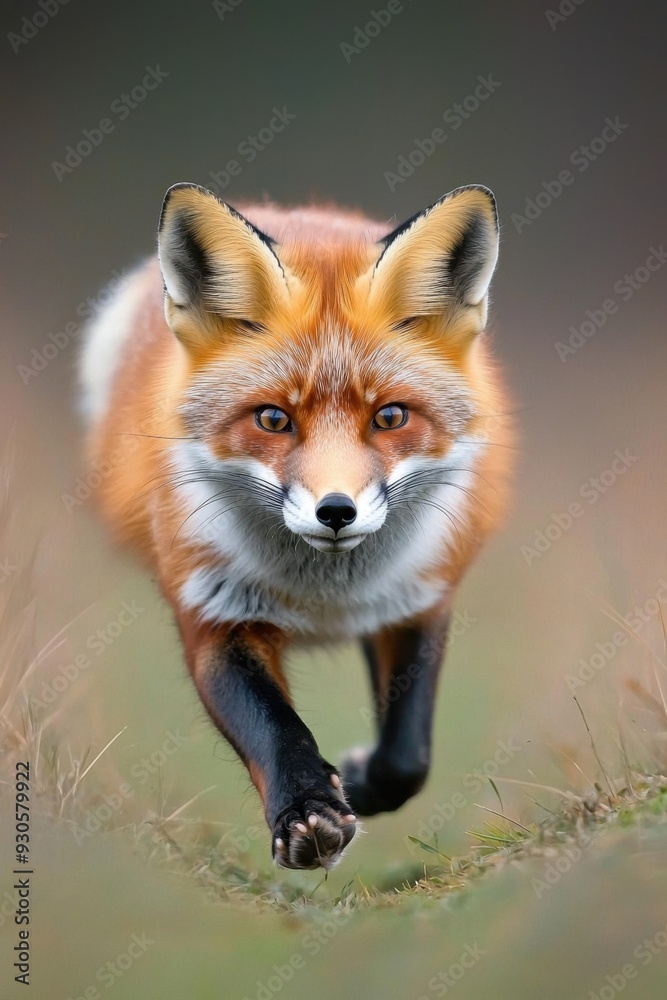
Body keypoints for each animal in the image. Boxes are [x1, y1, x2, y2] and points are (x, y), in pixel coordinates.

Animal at [79, 182, 512, 871]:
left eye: (390, 417)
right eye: (273, 419)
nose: (336, 511)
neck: (324, 596)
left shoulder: (419, 595)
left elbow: (408, 756)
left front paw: (362, 784)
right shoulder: (214, 609)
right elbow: (274, 729)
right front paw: (307, 811)